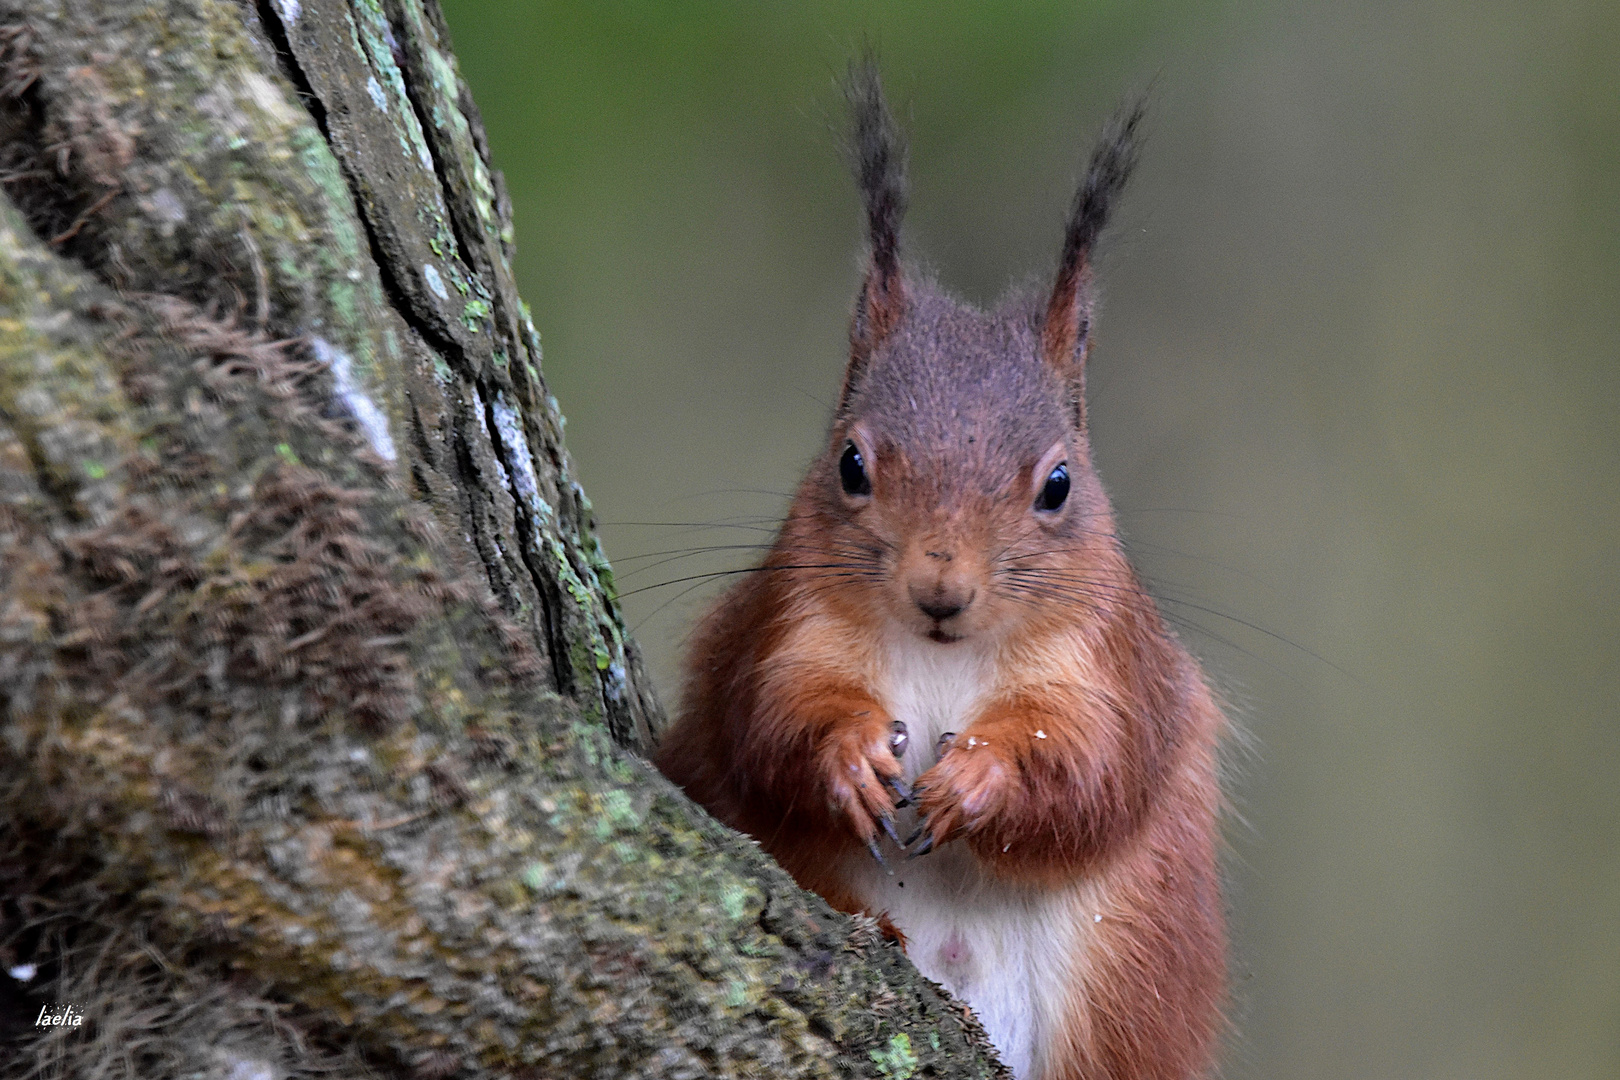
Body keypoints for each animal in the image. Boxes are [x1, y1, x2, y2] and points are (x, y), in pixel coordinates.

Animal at [651, 65, 1218, 1080]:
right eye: (850, 464)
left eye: (1059, 484)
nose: (941, 591)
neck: (947, 655)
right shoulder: (782, 629)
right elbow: (772, 722)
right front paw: (848, 760)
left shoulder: (1114, 670)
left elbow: (1092, 770)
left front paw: (978, 780)